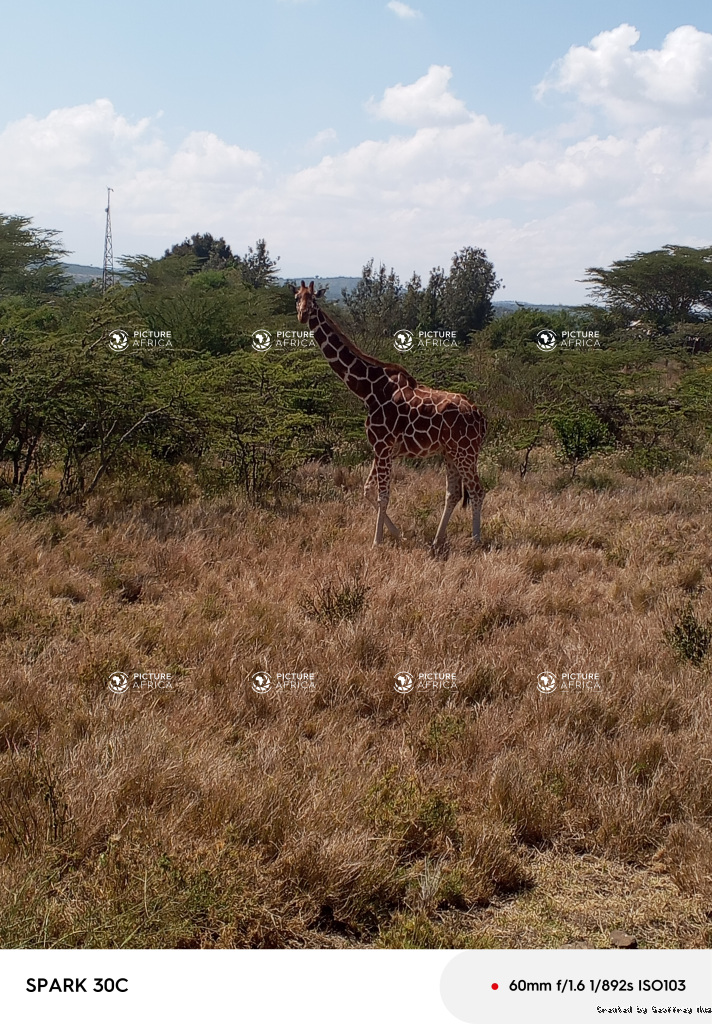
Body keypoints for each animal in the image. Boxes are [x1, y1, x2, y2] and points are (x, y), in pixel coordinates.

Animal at [292, 281, 486, 549]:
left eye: (314, 300)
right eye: (297, 298)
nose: (302, 315)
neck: (368, 390)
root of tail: (481, 417)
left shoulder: (383, 446)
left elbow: (383, 495)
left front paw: (377, 542)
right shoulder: (382, 449)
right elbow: (367, 490)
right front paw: (399, 534)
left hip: (466, 451)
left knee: (477, 490)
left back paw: (476, 541)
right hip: (451, 452)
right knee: (454, 492)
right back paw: (437, 541)